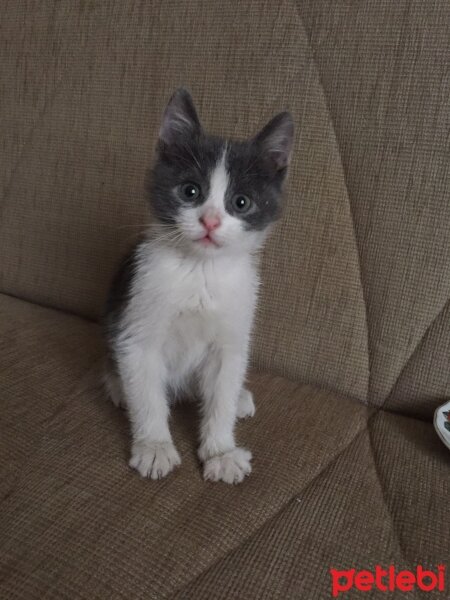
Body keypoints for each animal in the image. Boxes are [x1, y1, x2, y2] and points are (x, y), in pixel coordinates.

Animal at [102, 89, 294, 482]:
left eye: (241, 202)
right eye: (190, 191)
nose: (210, 221)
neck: (200, 271)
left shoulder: (234, 329)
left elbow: (221, 390)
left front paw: (221, 451)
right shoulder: (138, 323)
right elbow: (147, 392)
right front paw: (154, 446)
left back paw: (239, 398)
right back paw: (117, 386)